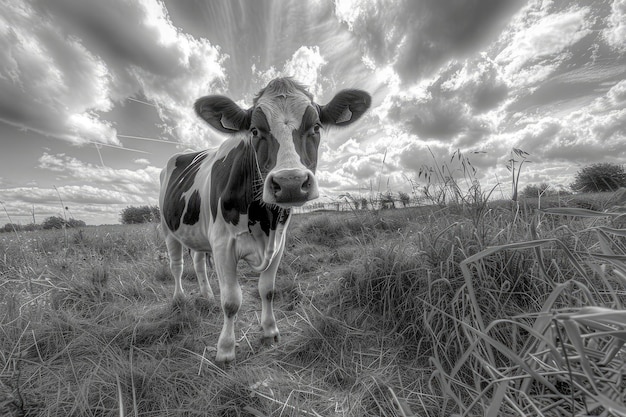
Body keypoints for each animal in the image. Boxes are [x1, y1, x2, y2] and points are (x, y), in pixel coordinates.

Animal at [158, 77, 370, 360]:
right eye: (255, 131)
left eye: (316, 126)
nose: (290, 183)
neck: (264, 217)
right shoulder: (223, 244)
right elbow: (231, 301)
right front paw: (225, 349)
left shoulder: (278, 242)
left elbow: (267, 290)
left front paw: (269, 331)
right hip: (167, 228)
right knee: (177, 266)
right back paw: (179, 299)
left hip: (198, 233)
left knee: (198, 262)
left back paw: (207, 294)